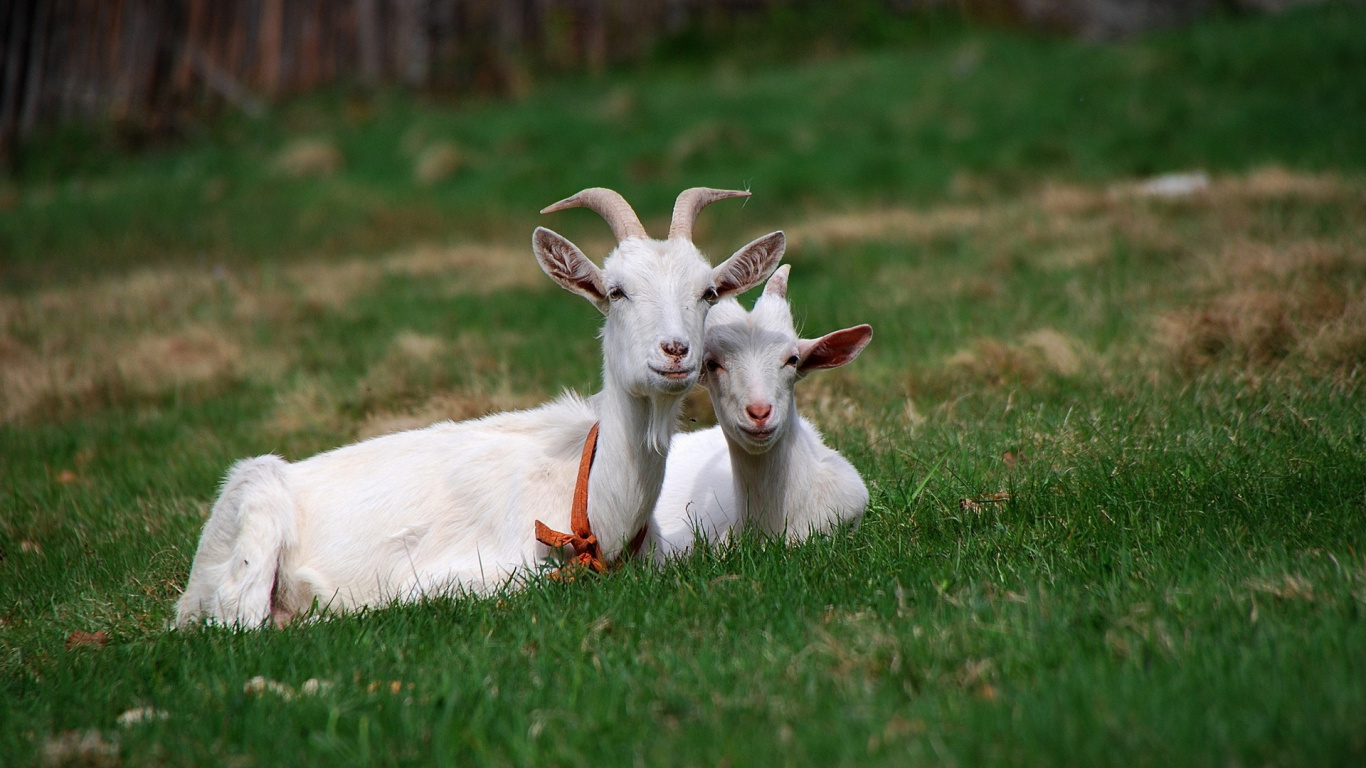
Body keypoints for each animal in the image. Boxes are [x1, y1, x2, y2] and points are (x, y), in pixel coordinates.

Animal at [175, 187, 784, 627]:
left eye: (708, 292)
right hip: (257, 519)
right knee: (239, 616)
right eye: (616, 291)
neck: (590, 499)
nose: (676, 351)